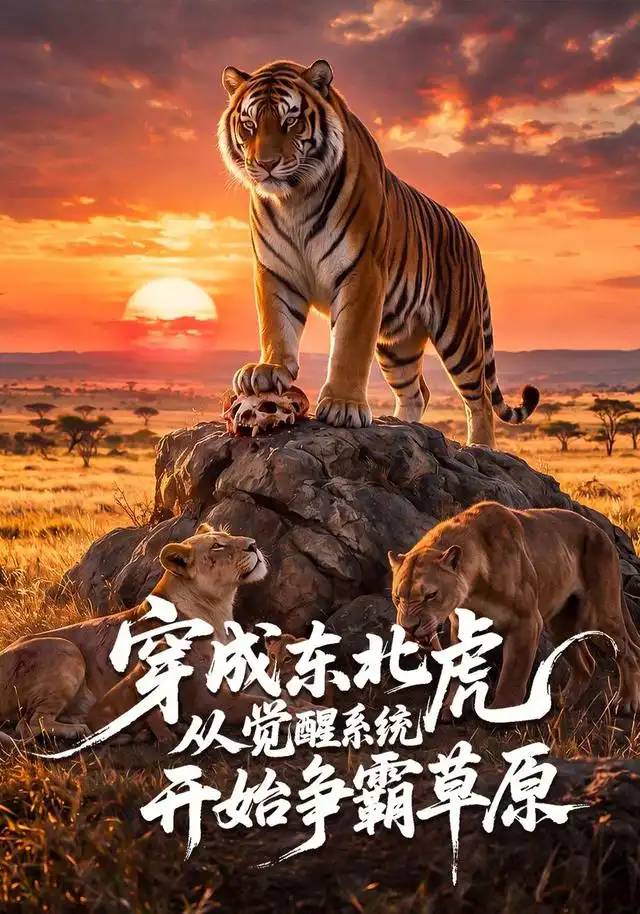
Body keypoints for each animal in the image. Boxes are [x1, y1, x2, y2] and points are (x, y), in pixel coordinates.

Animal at [218, 58, 540, 447]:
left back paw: (480, 446)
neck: (294, 199)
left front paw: (343, 405)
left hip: (459, 332)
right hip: (397, 343)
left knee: (479, 397)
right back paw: (402, 425)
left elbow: (350, 345)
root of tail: (471, 239)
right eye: (249, 124)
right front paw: (268, 370)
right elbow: (275, 324)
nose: (265, 163)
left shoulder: (363, 272)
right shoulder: (274, 270)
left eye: (290, 121)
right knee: (417, 392)